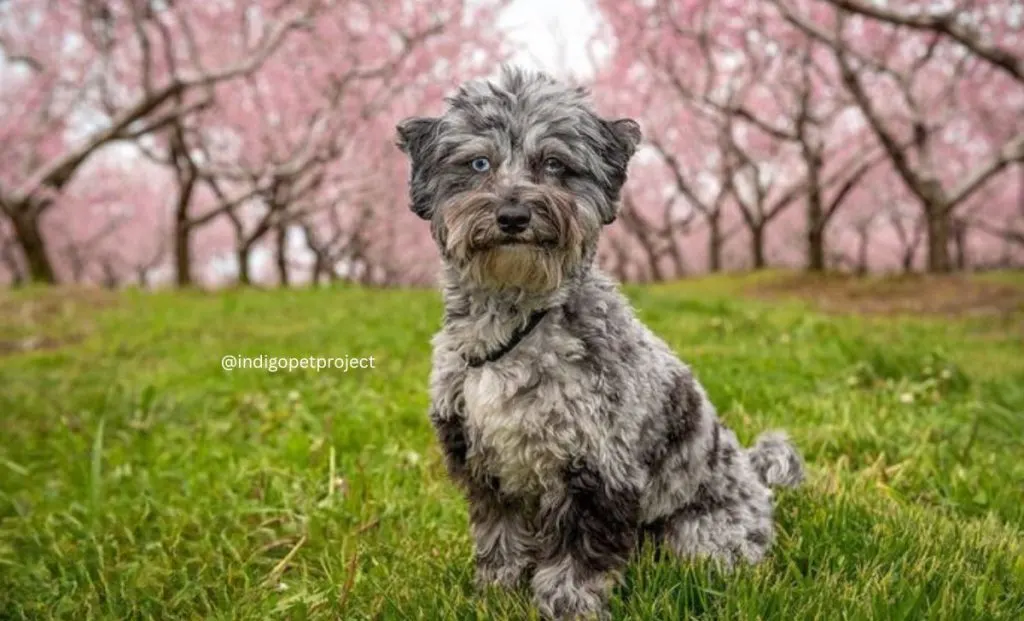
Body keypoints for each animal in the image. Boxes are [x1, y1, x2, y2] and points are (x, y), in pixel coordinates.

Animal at [395, 65, 802, 618]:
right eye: (479, 163)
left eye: (554, 164)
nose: (514, 216)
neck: (516, 319)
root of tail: (756, 479)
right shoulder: (484, 464)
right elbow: (499, 537)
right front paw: (496, 593)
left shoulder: (596, 467)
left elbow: (577, 556)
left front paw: (567, 605)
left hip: (704, 534)